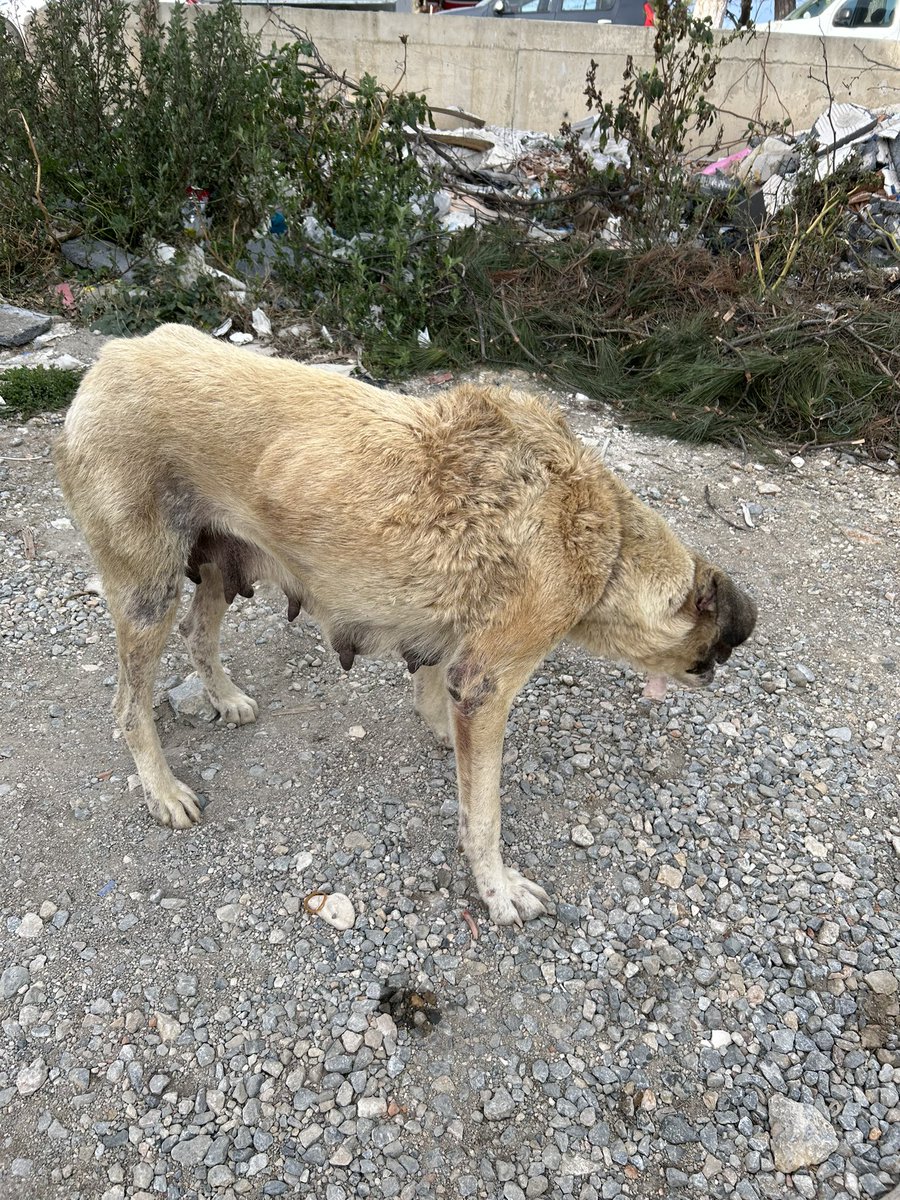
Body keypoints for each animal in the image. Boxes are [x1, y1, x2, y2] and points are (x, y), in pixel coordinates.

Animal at [56, 324, 758, 921]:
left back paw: (224, 697)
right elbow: (484, 815)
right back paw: (162, 789)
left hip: (220, 566)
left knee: (199, 635)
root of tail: (110, 359)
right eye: (723, 648)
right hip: (146, 591)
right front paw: (496, 888)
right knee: (129, 705)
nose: (717, 674)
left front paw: (442, 735)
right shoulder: (488, 680)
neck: (605, 538)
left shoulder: (454, 651)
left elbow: (436, 700)